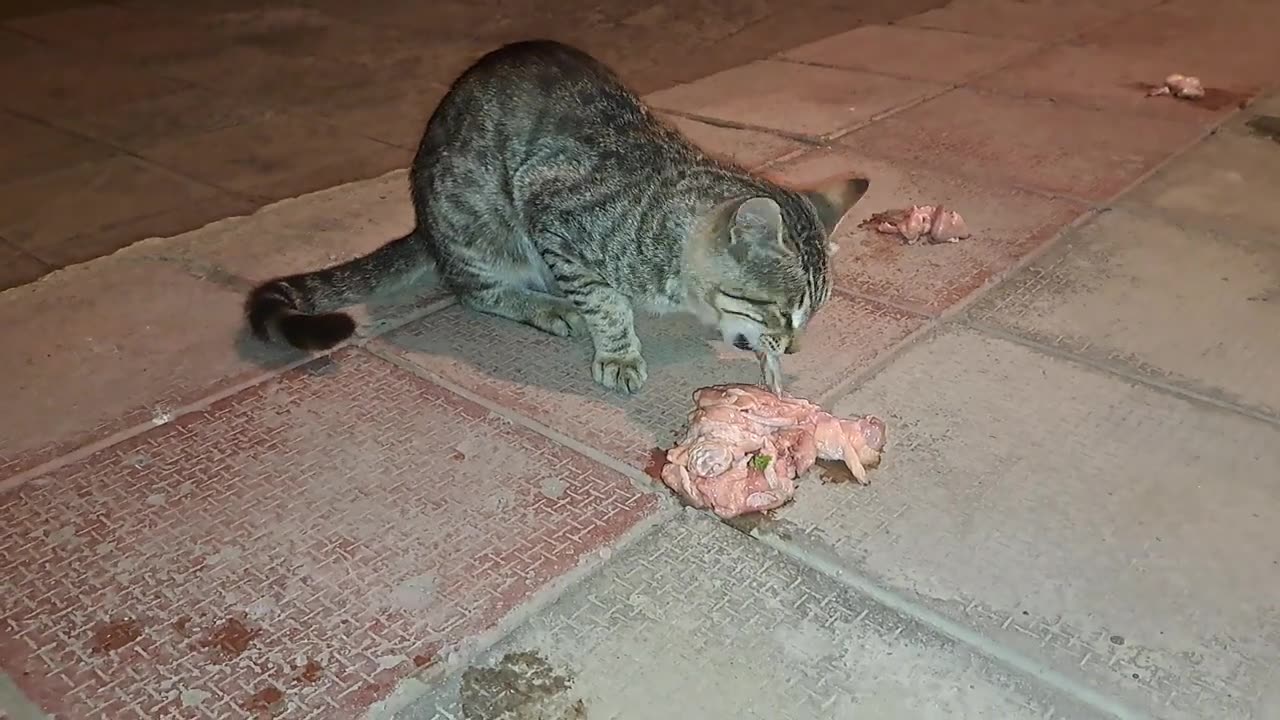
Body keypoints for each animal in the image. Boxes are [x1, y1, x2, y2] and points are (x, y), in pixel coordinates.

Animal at [247, 39, 870, 392]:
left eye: (810, 315)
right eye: (781, 312)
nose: (794, 349)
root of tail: (423, 222)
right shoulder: (552, 215)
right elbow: (606, 303)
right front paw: (617, 351)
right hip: (478, 223)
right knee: (475, 292)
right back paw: (548, 306)